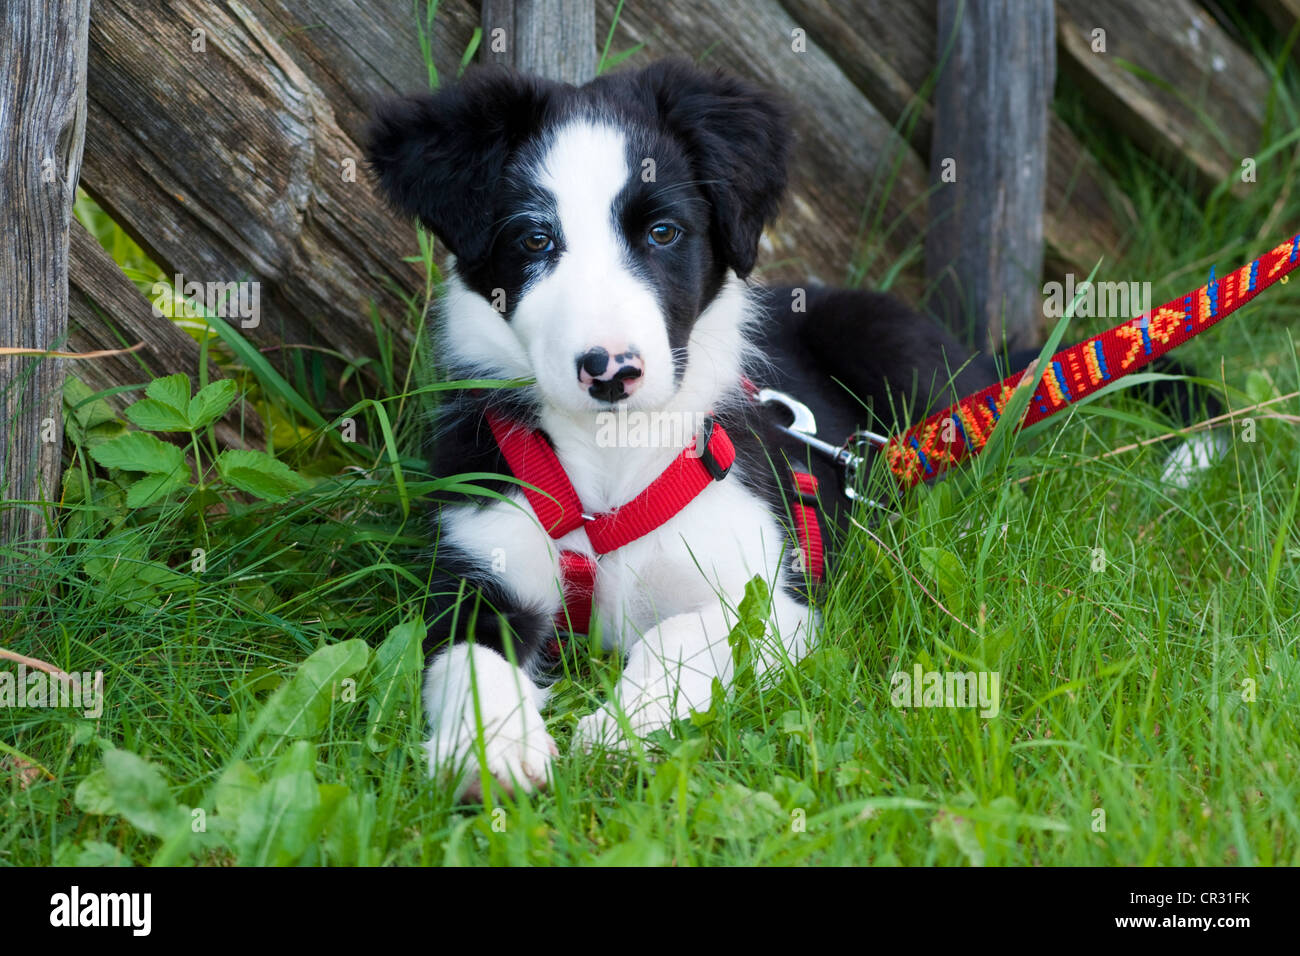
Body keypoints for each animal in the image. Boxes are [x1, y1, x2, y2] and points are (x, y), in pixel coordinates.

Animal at [361, 59, 1019, 801]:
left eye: (664, 233)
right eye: (535, 239)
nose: (611, 371)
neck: (611, 459)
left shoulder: (771, 598)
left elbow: (677, 640)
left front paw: (614, 732)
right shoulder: (482, 570)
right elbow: (469, 660)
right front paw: (490, 750)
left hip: (894, 344)